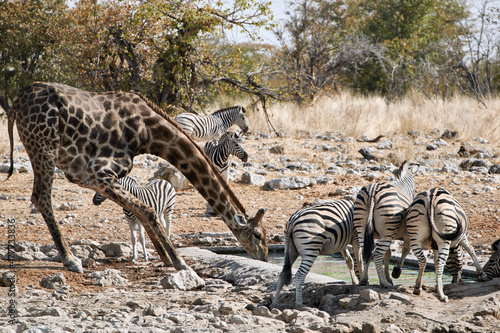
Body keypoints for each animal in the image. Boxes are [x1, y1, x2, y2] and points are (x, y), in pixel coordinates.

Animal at [6, 82, 266, 272]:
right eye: (258, 234)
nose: (263, 256)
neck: (148, 133)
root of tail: (17, 103)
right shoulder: (99, 172)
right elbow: (148, 211)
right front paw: (180, 262)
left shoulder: (86, 175)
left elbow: (140, 210)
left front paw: (164, 257)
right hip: (44, 147)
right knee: (41, 197)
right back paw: (71, 260)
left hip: (42, 150)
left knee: (39, 197)